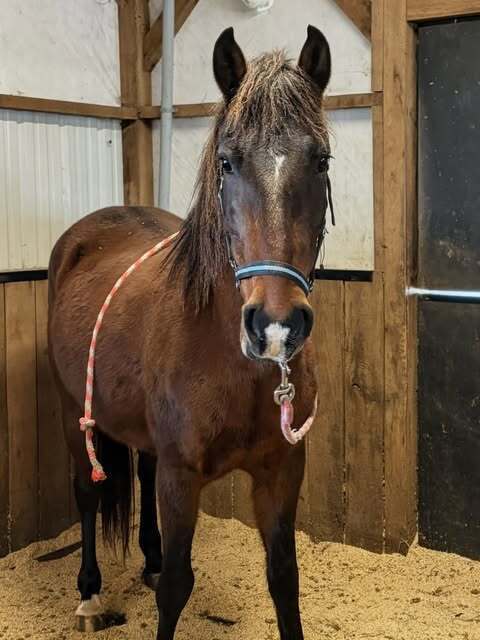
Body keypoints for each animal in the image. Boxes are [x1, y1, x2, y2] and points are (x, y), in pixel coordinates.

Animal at [48, 25, 333, 640]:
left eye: (321, 160)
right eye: (226, 162)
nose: (276, 325)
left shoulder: (282, 471)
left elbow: (284, 578)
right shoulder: (182, 477)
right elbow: (178, 587)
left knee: (140, 467)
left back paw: (148, 559)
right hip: (73, 410)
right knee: (87, 494)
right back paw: (89, 594)